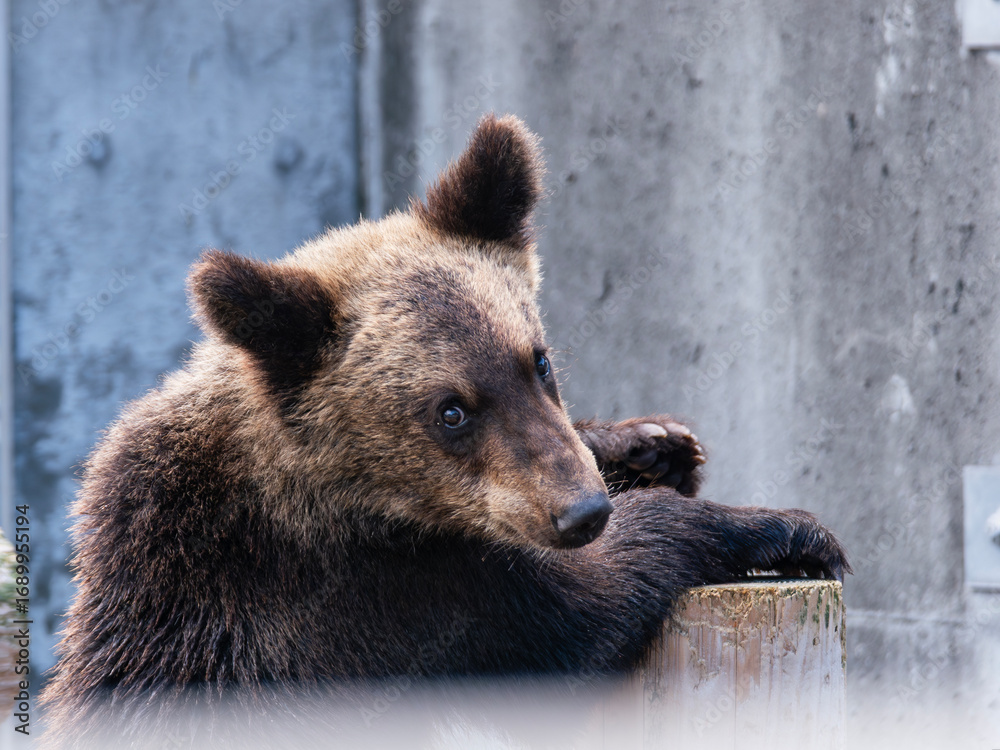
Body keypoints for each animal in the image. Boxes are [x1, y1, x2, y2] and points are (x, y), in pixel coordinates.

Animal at [40, 113, 849, 747]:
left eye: (538, 359)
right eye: (450, 409)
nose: (582, 511)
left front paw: (653, 444)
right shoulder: (363, 614)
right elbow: (583, 608)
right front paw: (782, 527)